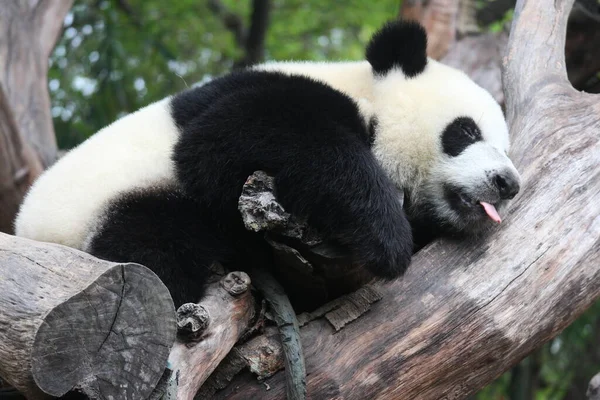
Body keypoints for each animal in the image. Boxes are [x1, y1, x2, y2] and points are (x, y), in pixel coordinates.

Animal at [14, 21, 520, 306]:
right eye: (466, 132)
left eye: (508, 149)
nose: (507, 183)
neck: (367, 94)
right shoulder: (277, 93)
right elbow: (221, 142)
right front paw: (387, 236)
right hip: (108, 214)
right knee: (151, 256)